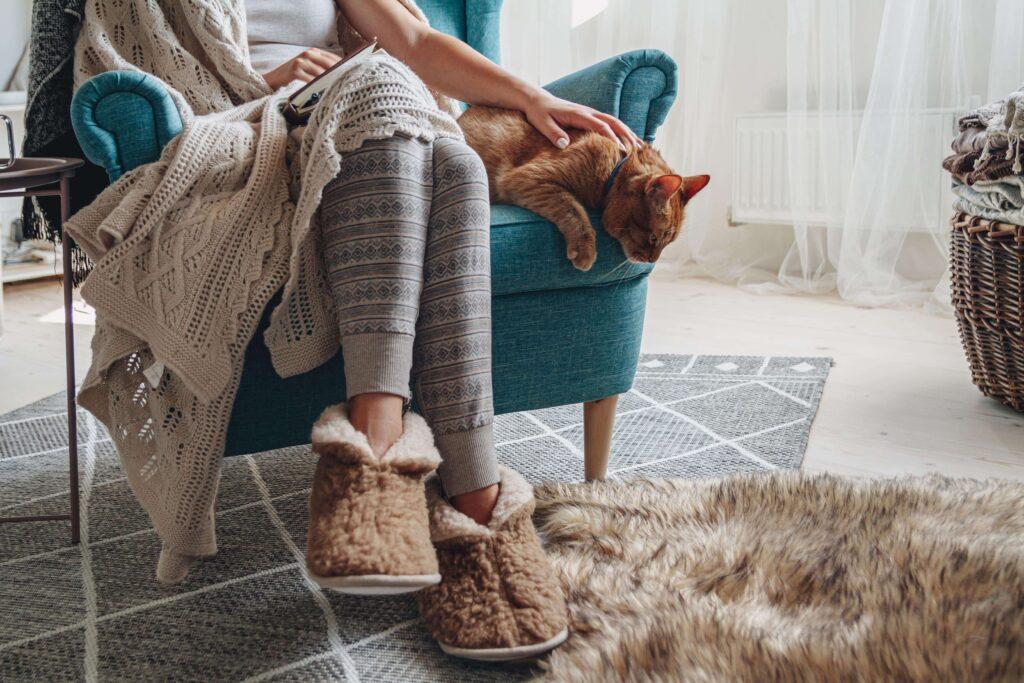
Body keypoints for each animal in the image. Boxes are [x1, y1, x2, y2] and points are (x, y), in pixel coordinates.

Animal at [460, 104, 708, 270]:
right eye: (654, 238)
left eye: (668, 243)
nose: (652, 261)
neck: (614, 166)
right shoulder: (528, 178)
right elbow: (573, 209)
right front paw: (585, 249)